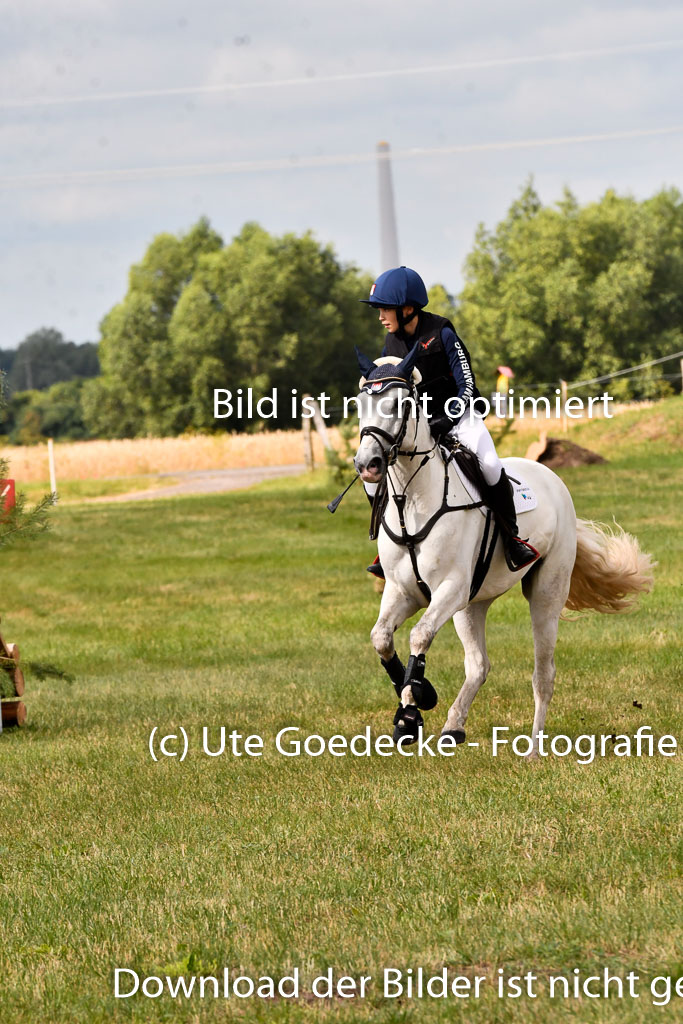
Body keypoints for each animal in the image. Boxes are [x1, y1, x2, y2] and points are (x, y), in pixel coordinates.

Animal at [356, 350, 655, 753]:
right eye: (359, 404)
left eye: (400, 404)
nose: (366, 464)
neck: (412, 501)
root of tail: (551, 476)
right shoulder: (403, 590)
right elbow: (382, 638)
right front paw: (414, 706)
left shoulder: (450, 588)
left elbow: (419, 635)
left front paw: (415, 702)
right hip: (472, 604)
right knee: (479, 665)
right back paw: (454, 726)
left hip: (544, 592)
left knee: (543, 671)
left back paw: (534, 746)